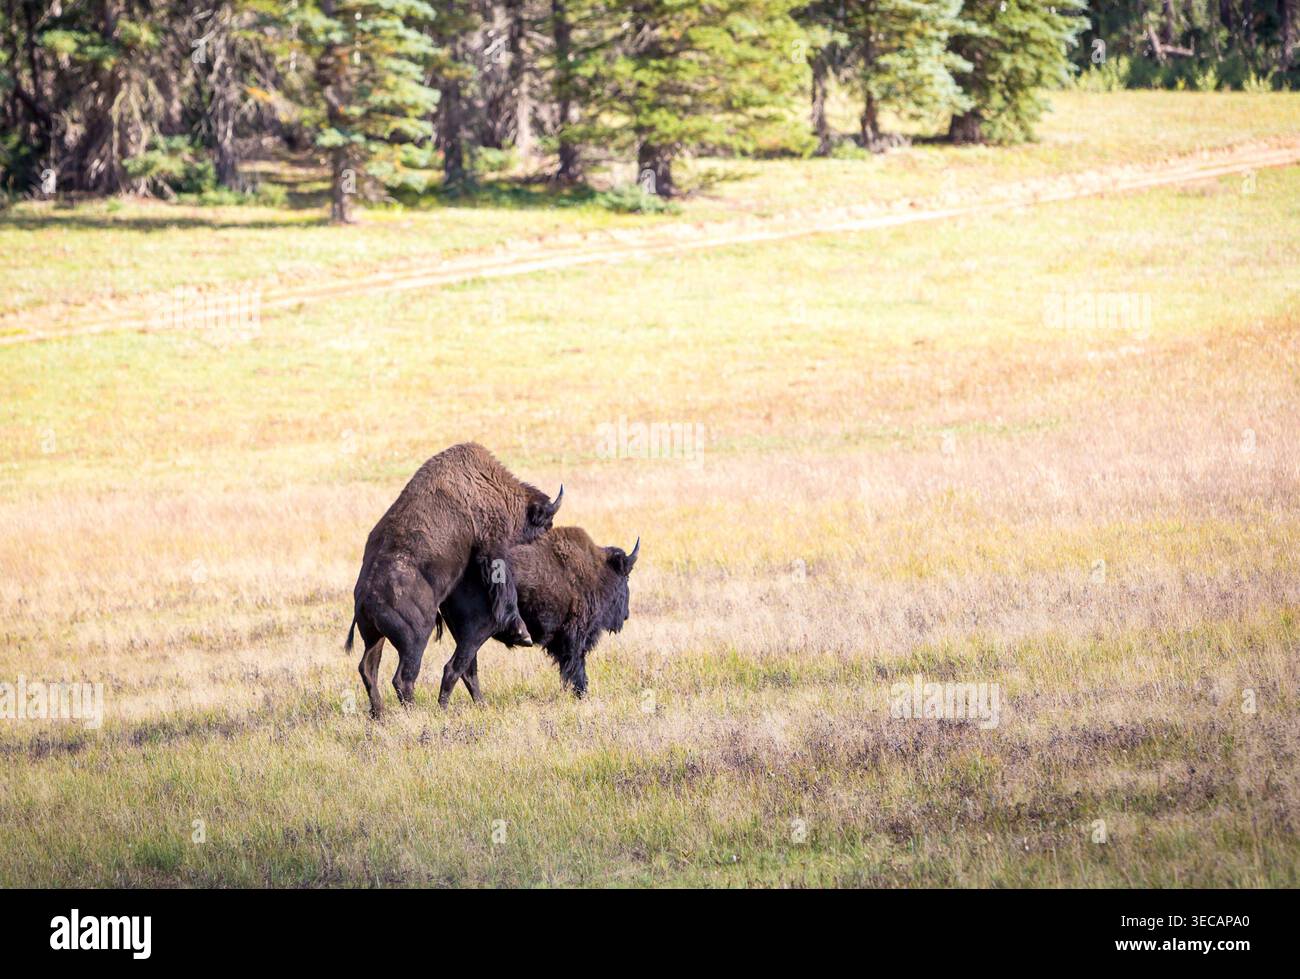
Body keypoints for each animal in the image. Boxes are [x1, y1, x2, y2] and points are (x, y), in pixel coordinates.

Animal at [346, 443, 562, 716]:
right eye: (543, 522)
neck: (489, 485)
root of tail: (365, 599)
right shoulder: (492, 546)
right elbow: (505, 590)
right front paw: (521, 633)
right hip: (416, 638)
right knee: (403, 677)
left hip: (375, 638)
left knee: (368, 669)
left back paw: (380, 715)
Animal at [435, 527, 639, 704]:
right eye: (626, 578)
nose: (626, 615)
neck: (597, 572)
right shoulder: (575, 636)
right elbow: (577, 667)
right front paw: (581, 695)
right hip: (477, 633)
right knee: (453, 669)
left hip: (465, 637)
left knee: (468, 671)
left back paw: (482, 705)